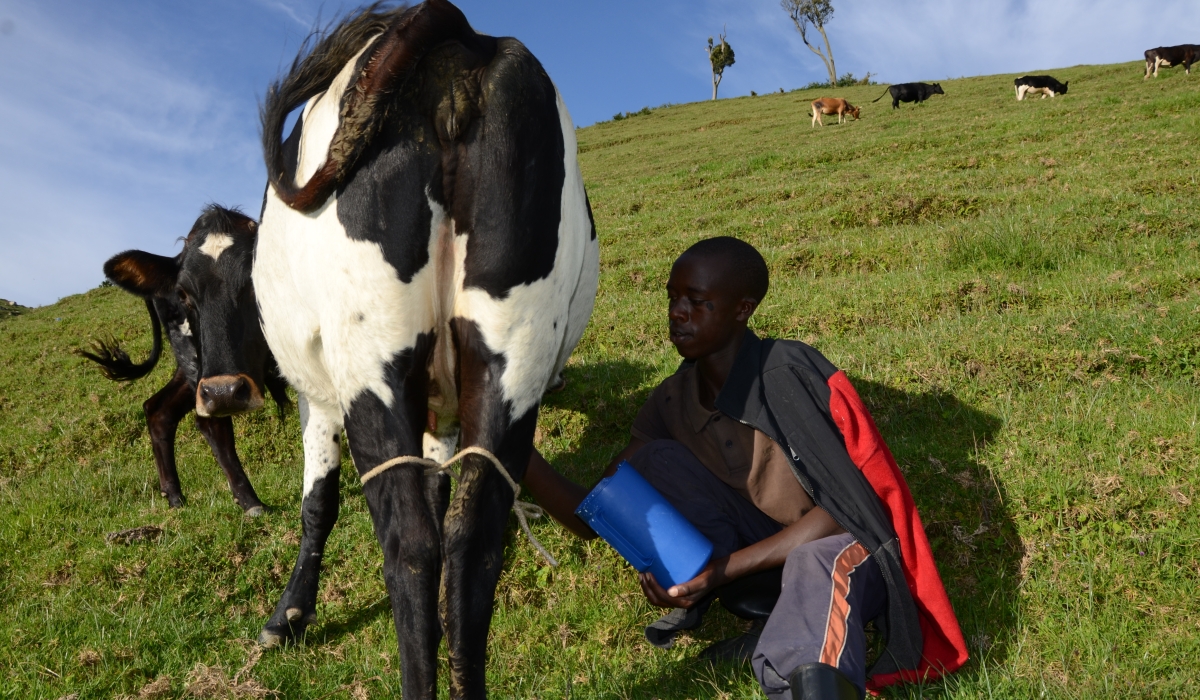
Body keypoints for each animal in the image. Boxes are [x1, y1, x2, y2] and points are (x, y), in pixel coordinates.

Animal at [79, 206, 288, 515]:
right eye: (183, 294)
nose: (224, 391)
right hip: (198, 364)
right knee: (211, 423)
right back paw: (250, 502)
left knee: (158, 410)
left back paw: (174, 496)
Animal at [226, 1, 600, 697]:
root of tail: (458, 37)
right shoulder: (444, 408)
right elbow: (439, 484)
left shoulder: (318, 399)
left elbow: (318, 502)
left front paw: (289, 614)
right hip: (512, 353)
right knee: (470, 538)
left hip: (370, 360)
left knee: (411, 542)